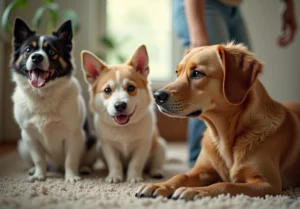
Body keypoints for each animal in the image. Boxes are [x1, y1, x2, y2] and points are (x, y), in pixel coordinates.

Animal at [11, 18, 96, 183]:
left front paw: (71, 177)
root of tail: (57, 168)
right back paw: (33, 170)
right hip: (22, 145)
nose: (36, 57)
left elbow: (71, 159)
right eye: (28, 50)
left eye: (51, 52)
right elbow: (38, 159)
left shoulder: (74, 135)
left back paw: (84, 168)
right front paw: (39, 175)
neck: (43, 95)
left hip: (94, 142)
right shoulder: (29, 136)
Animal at [135, 42, 300, 201]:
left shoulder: (268, 184)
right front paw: (158, 186)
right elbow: (180, 175)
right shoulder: (202, 171)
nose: (157, 96)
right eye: (177, 72)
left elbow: (226, 184)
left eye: (197, 73)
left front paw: (195, 190)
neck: (223, 135)